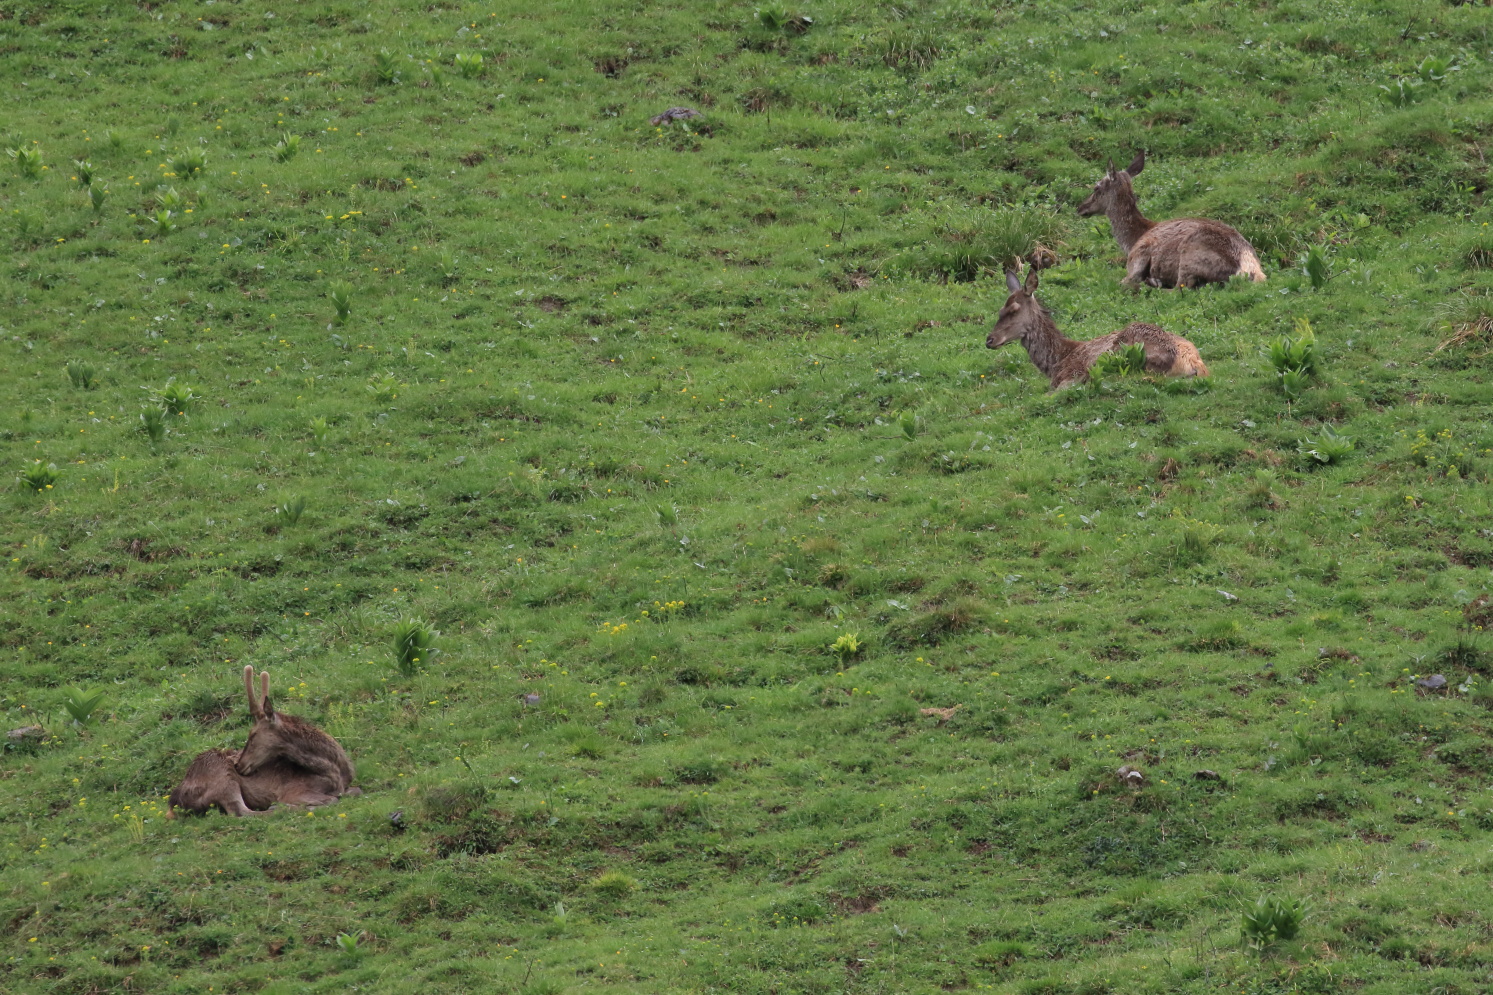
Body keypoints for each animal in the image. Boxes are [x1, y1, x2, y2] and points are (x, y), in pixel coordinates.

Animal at [167, 666, 361, 812]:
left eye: (252, 735)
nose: (238, 764)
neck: (334, 770)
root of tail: (176, 797)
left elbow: (356, 790)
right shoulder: (293, 791)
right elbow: (332, 800)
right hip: (222, 778)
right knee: (241, 812)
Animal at [985, 267, 1206, 391]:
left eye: (1013, 310)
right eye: (999, 310)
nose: (990, 339)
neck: (1056, 360)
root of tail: (1193, 364)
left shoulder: (1068, 376)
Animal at [1080, 150, 1266, 288]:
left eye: (1096, 187)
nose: (1080, 208)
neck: (1132, 241)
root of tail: (1249, 268)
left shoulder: (1137, 257)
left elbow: (1123, 281)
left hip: (1190, 256)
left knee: (1180, 288)